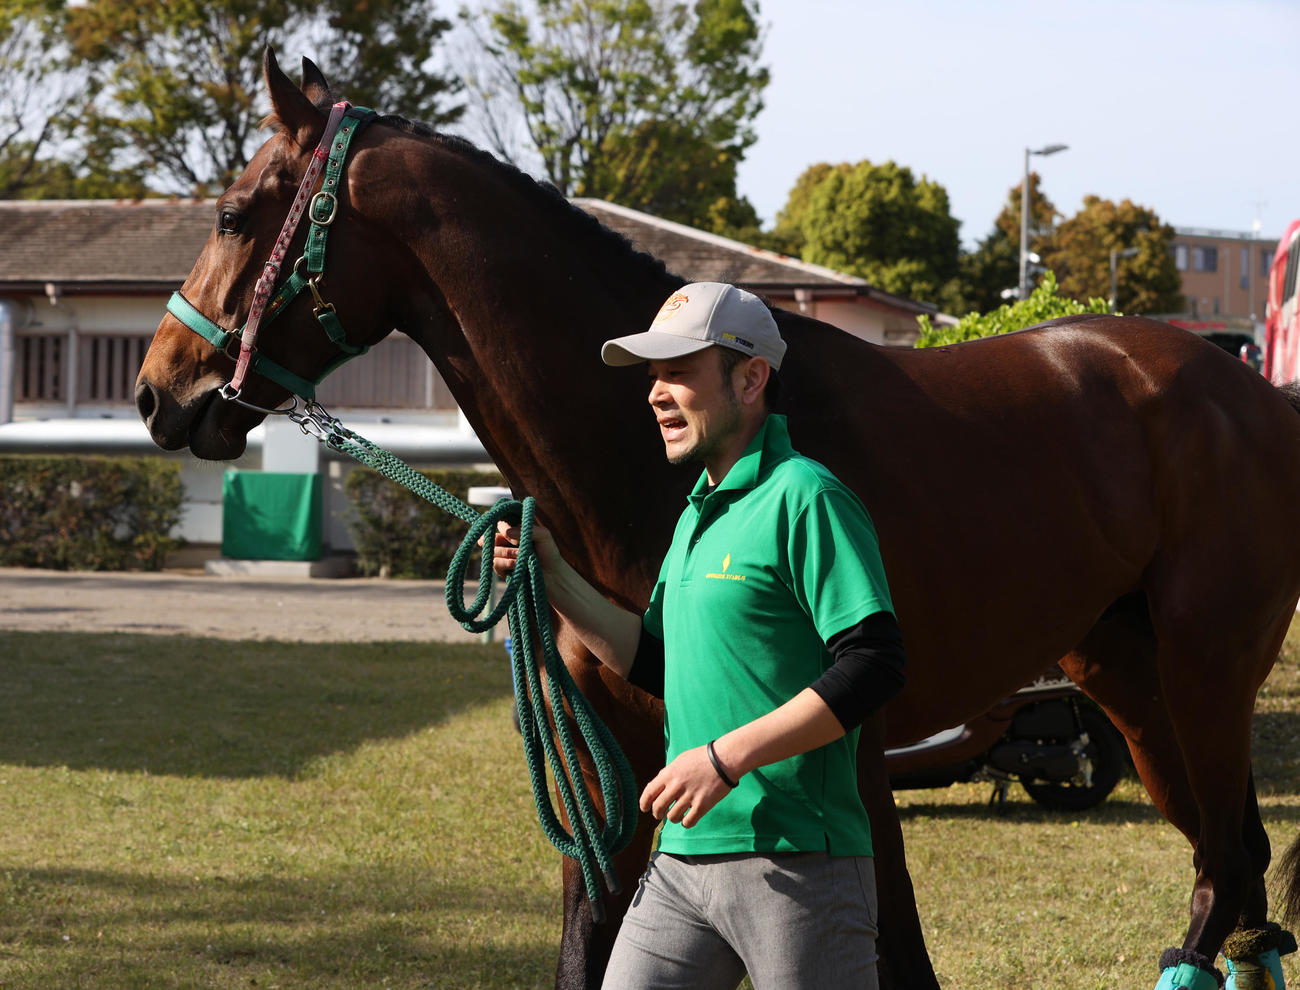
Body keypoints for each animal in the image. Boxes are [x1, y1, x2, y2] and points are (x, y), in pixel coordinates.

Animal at [134, 50, 1300, 989]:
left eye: (233, 214)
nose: (158, 389)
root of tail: (1250, 392)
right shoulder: (606, 765)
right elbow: (589, 945)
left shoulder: (852, 761)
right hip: (1130, 681)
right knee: (1235, 871)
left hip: (1206, 671)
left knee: (1228, 870)